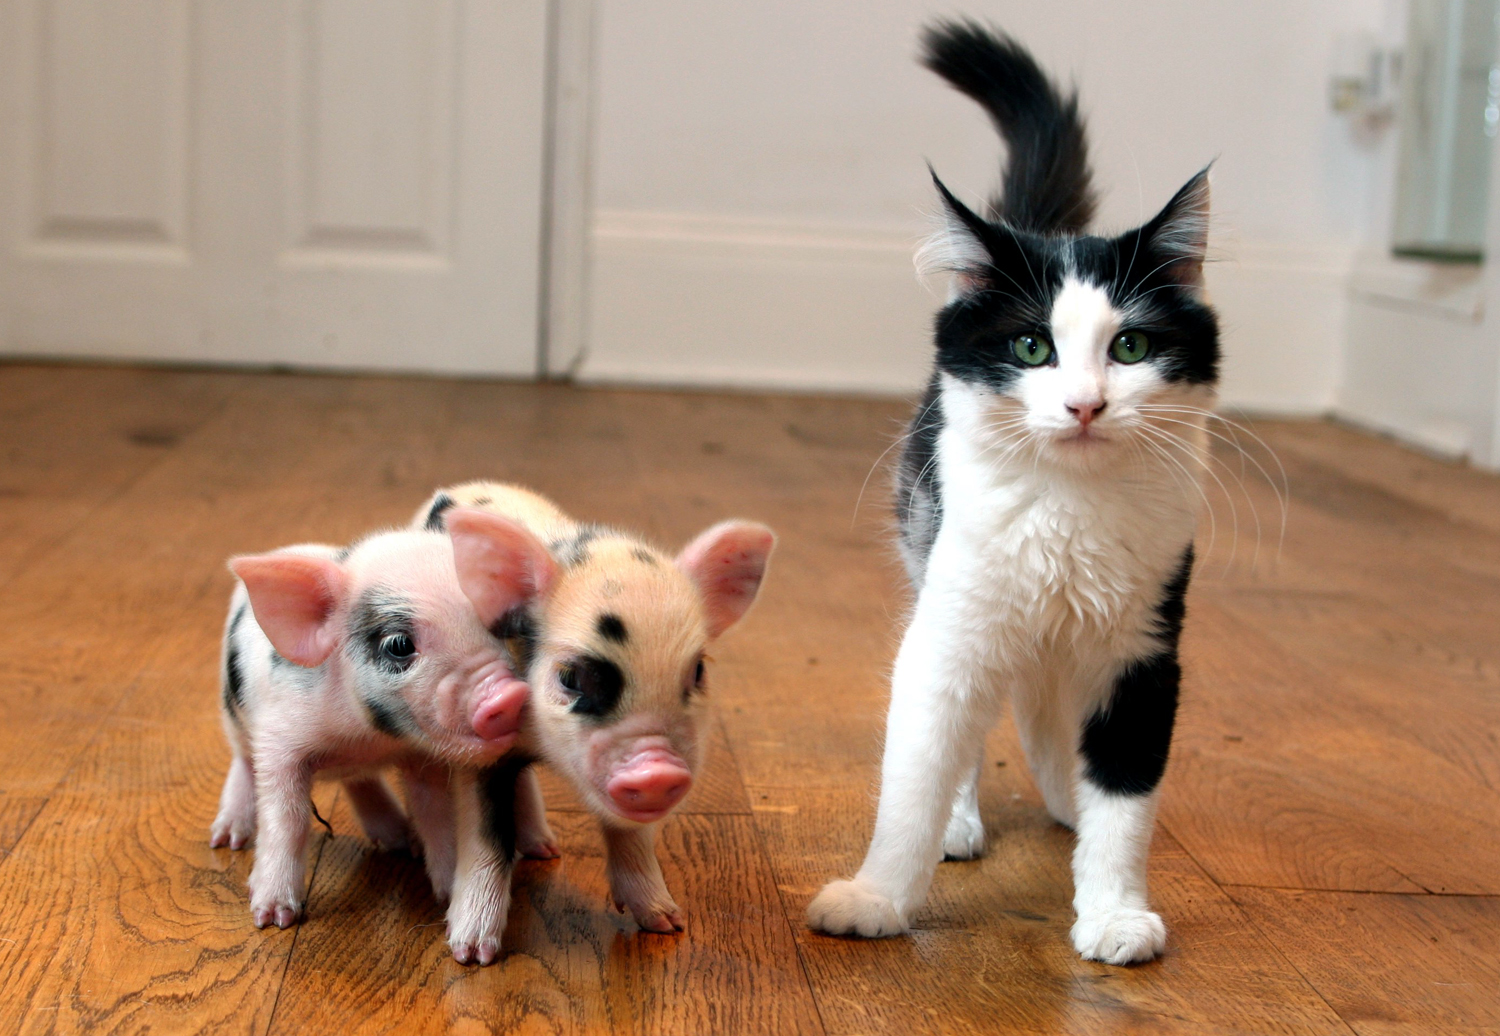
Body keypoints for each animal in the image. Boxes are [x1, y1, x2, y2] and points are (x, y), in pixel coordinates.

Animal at [210, 520, 557, 963]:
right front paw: (273, 919)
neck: (366, 737)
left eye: (496, 628)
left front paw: (447, 894)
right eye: (398, 645)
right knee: (241, 763)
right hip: (233, 715)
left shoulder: (422, 758)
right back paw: (227, 840)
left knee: (361, 781)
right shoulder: (279, 741)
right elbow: (288, 817)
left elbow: (436, 813)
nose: (507, 695)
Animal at [416, 483, 775, 933]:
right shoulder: (479, 748)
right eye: (570, 676)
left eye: (697, 671)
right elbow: (485, 837)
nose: (657, 769)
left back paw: (546, 849)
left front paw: (668, 923)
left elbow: (632, 836)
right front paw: (470, 944)